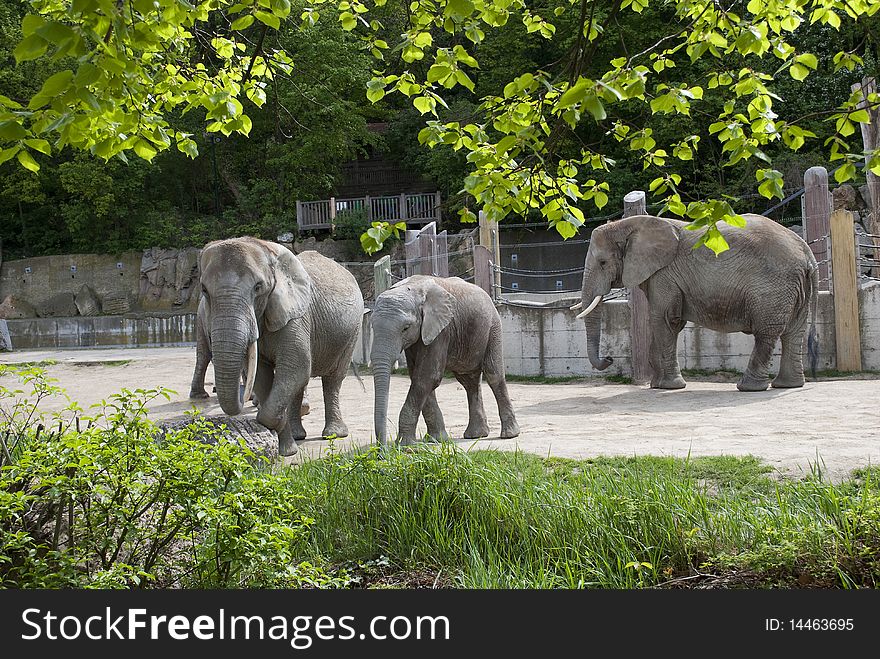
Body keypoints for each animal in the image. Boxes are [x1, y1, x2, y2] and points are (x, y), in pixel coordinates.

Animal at [372, 276, 524, 446]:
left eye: (406, 328)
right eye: (371, 326)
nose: (382, 449)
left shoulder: (441, 330)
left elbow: (427, 377)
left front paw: (405, 445)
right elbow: (419, 377)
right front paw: (436, 439)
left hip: (493, 327)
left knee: (494, 375)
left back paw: (509, 434)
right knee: (468, 381)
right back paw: (476, 435)